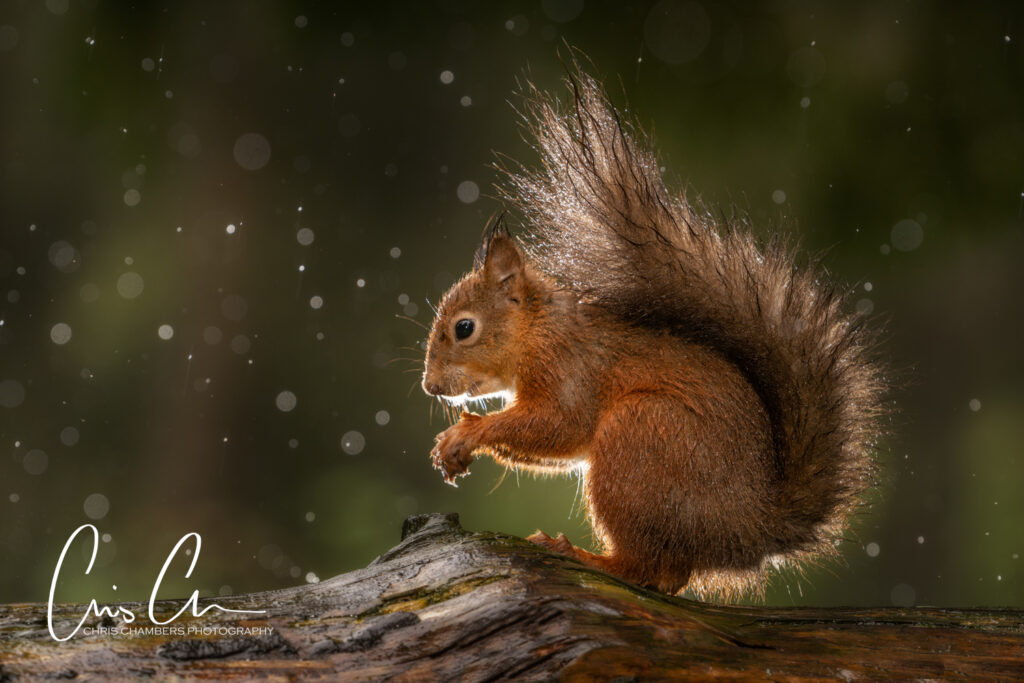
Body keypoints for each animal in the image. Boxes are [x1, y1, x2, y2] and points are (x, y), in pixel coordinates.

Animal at [421, 70, 885, 600]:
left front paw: (467, 432)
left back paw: (582, 555)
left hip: (641, 438)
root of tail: (749, 530)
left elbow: (560, 424)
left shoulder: (567, 365)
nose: (430, 386)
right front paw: (452, 444)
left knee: (647, 569)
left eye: (464, 328)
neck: (537, 328)